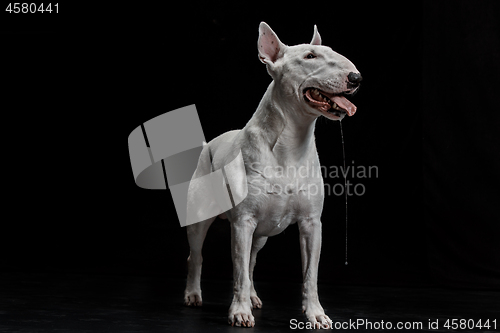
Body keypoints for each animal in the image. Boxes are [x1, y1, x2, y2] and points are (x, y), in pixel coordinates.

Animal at [183, 22, 360, 326]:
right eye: (310, 56)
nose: (356, 77)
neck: (290, 144)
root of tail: (210, 145)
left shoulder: (311, 224)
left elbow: (310, 274)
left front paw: (316, 314)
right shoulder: (243, 222)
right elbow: (238, 271)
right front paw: (239, 312)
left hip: (261, 235)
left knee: (252, 260)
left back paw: (253, 296)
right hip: (201, 218)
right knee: (197, 256)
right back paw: (194, 295)